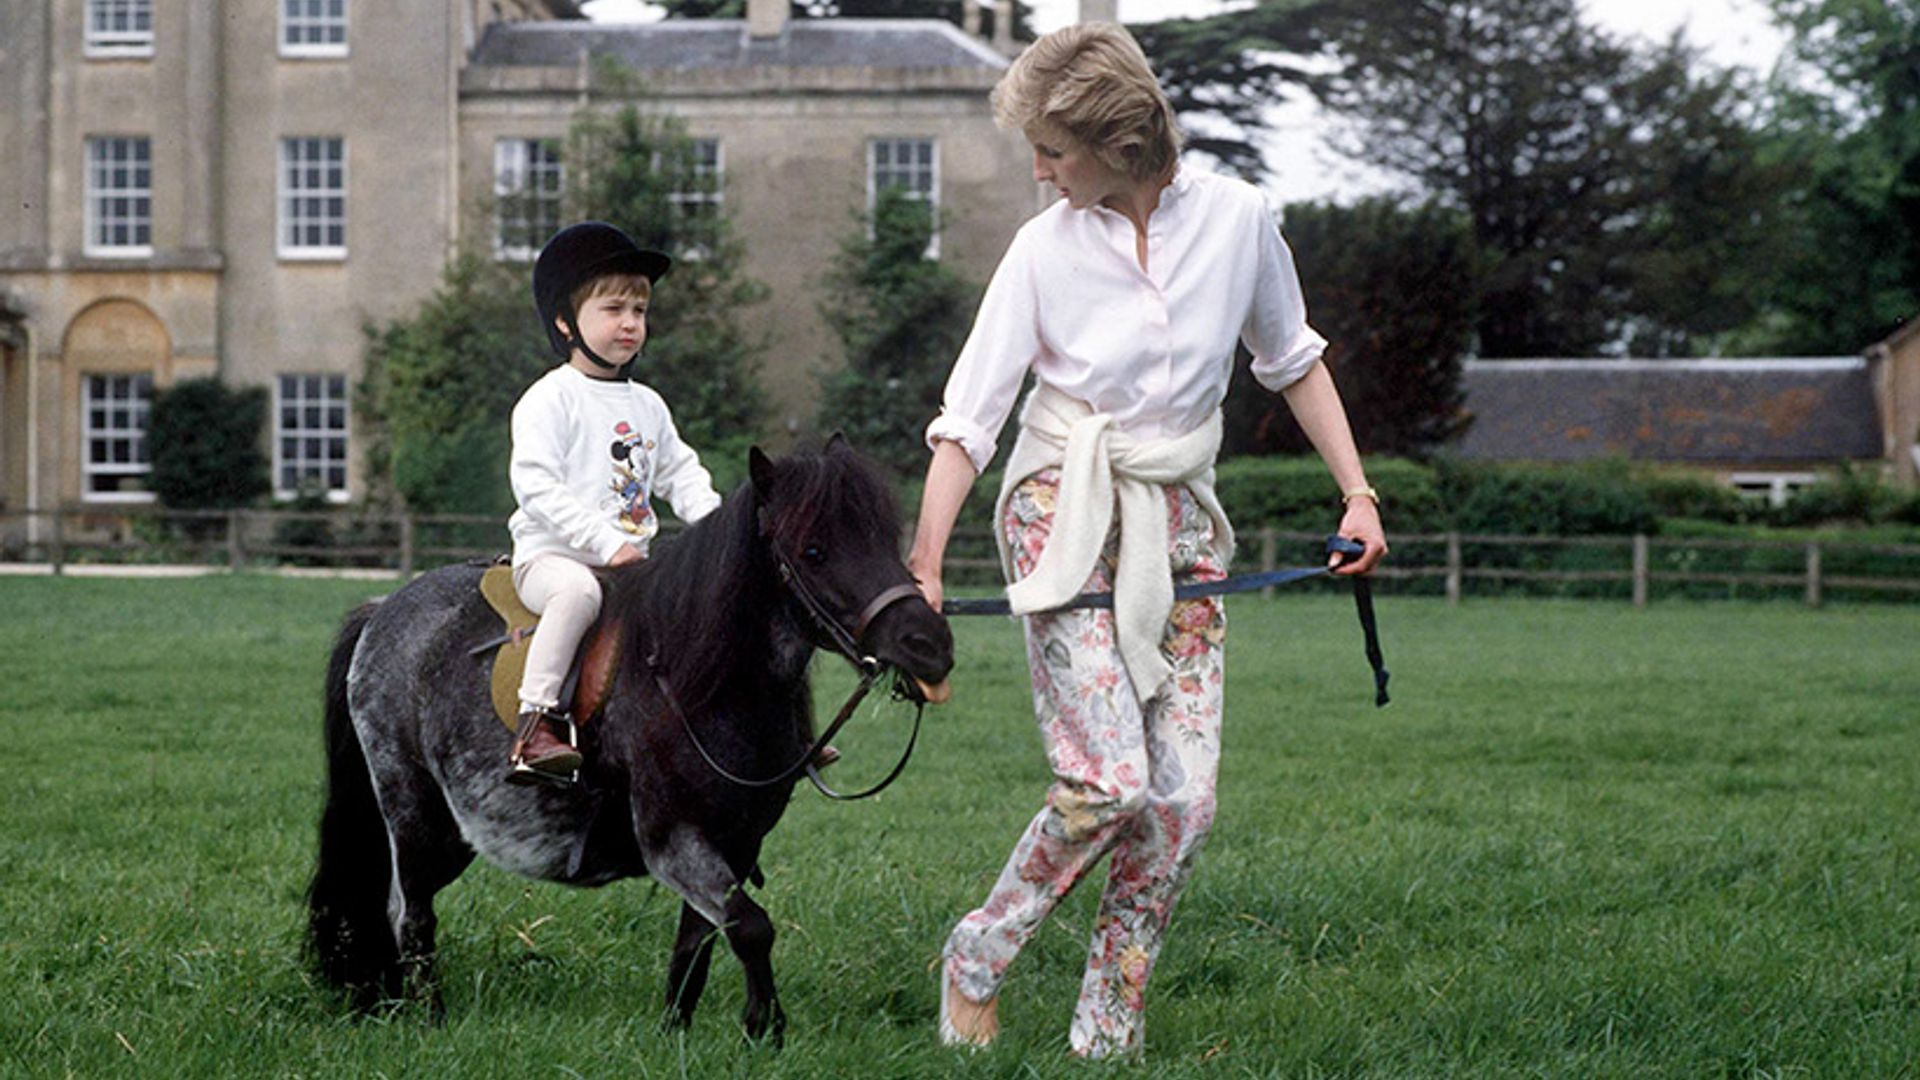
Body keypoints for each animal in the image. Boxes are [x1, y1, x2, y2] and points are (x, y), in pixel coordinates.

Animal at [305, 438, 952, 1037]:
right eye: (813, 551)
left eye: (885, 538)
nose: (929, 645)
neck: (697, 681)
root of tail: (382, 608)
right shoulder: (673, 839)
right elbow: (751, 927)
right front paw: (766, 1029)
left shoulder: (737, 843)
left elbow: (699, 942)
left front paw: (679, 1035)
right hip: (411, 811)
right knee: (409, 914)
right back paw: (431, 1019)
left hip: (452, 832)